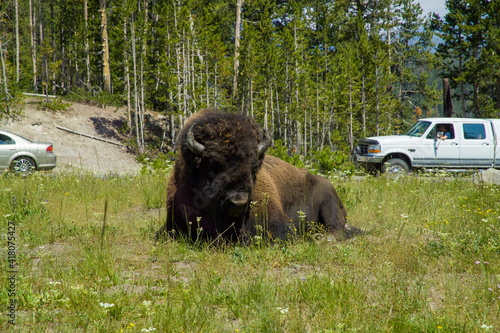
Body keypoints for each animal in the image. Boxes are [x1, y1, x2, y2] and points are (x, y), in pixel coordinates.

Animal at [157, 109, 348, 241]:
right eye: (213, 165)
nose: (238, 201)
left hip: (328, 200)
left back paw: (320, 238)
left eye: (254, 166)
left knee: (336, 228)